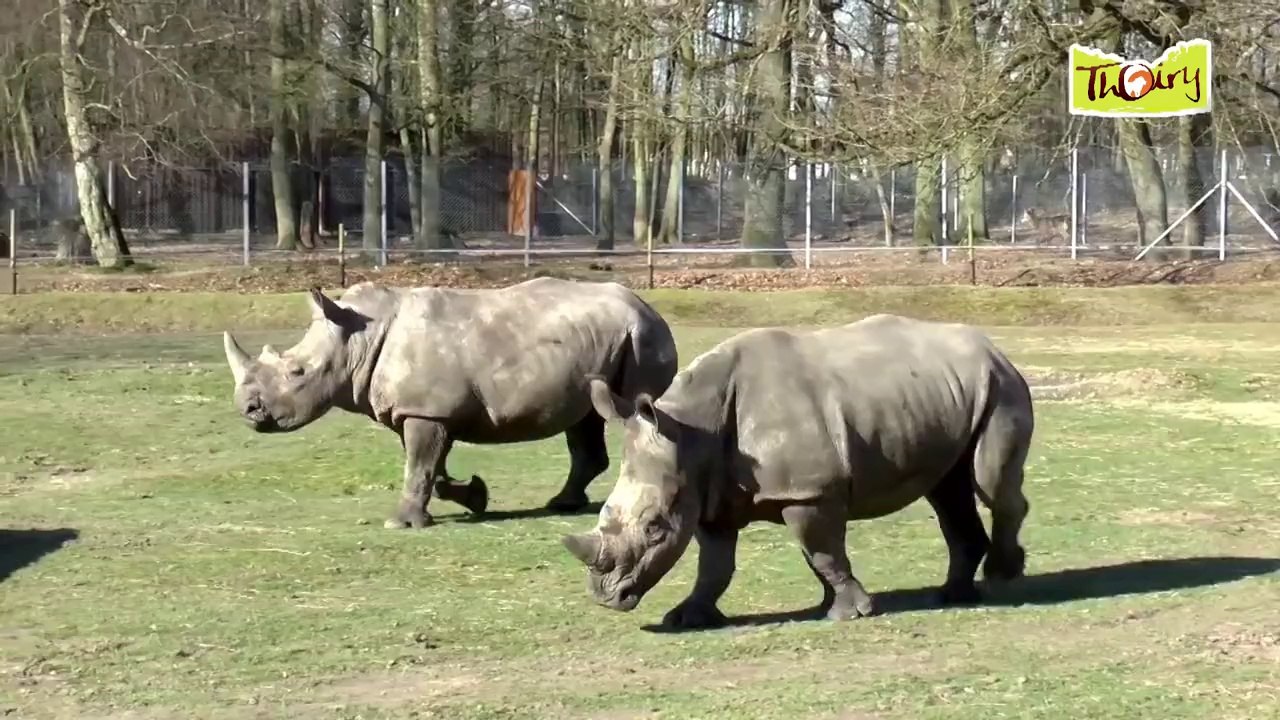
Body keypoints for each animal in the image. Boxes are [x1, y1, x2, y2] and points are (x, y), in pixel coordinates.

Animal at [222, 277, 679, 529]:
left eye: (297, 372)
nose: (248, 411)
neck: (357, 337)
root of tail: (648, 307)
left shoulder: (426, 410)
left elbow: (419, 466)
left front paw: (400, 524)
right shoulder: (422, 411)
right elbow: (430, 468)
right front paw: (475, 497)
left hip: (643, 338)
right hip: (607, 343)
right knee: (584, 421)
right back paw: (562, 504)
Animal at [562, 313, 1034, 629]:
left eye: (655, 528)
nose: (605, 597)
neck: (691, 431)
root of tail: (995, 349)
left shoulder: (807, 491)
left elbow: (822, 552)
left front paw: (848, 614)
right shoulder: (710, 493)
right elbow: (716, 565)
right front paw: (687, 618)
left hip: (1000, 388)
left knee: (988, 484)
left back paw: (1002, 578)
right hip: (948, 394)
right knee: (947, 490)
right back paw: (955, 595)